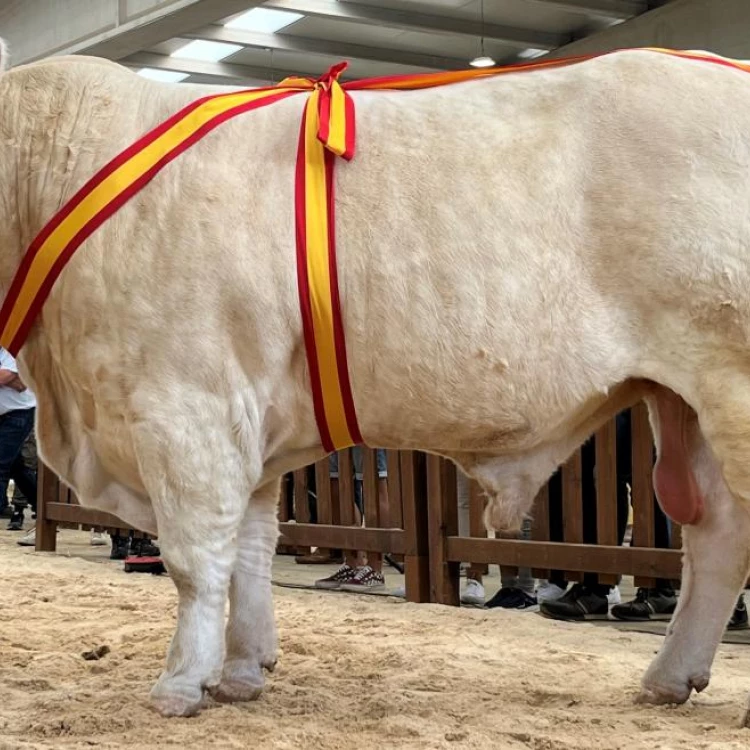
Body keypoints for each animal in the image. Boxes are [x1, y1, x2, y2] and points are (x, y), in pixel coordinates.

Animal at [1, 45, 750, 724]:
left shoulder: (186, 411)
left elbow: (196, 558)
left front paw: (179, 685)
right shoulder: (245, 426)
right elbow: (250, 550)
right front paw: (242, 672)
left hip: (729, 382)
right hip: (685, 399)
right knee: (716, 533)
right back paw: (669, 678)